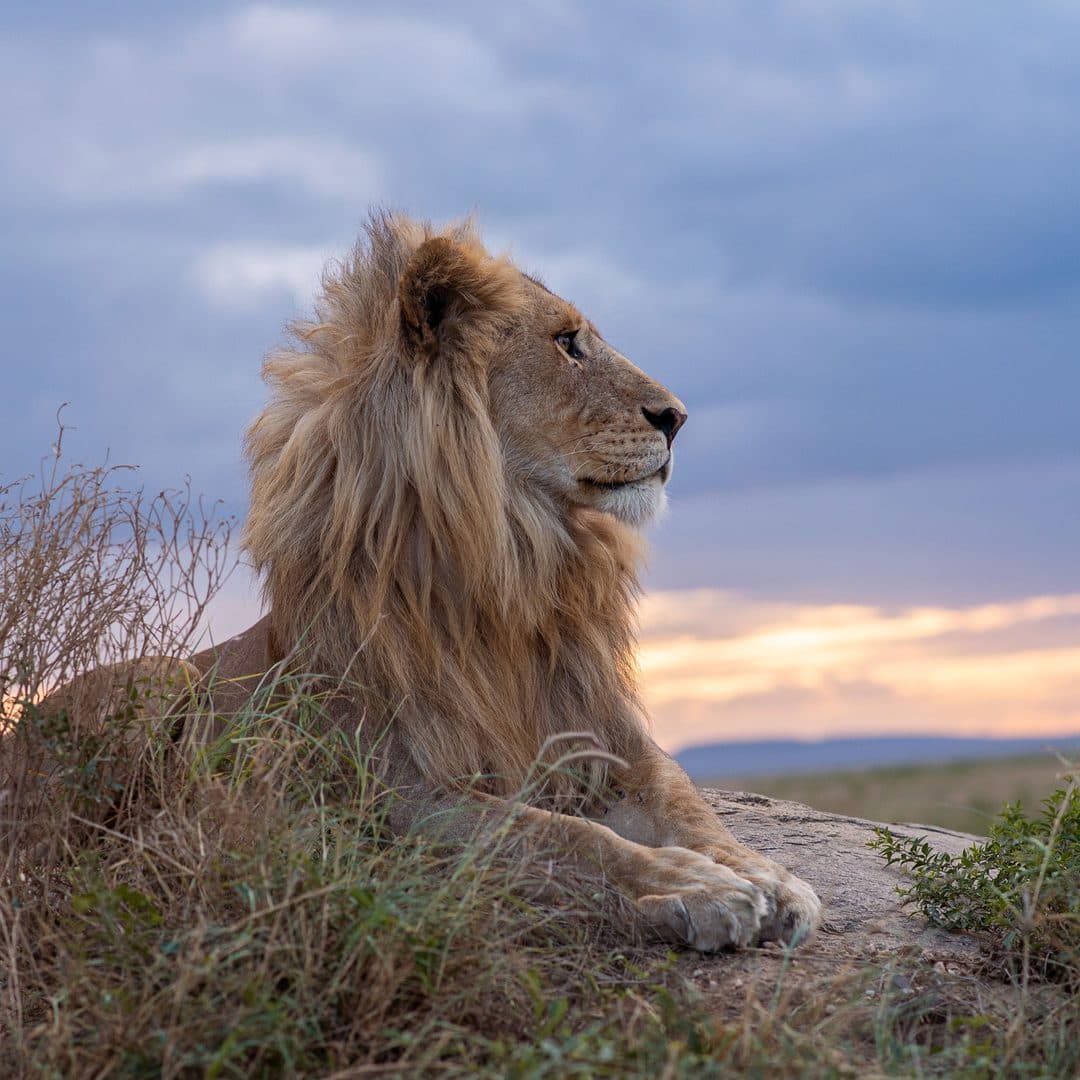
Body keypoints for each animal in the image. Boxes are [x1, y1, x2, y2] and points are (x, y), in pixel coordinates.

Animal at [44, 214, 822, 952]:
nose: (677, 417)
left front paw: (771, 881)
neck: (517, 563)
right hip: (158, 679)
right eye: (567, 342)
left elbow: (688, 803)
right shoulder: (401, 794)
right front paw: (696, 887)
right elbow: (562, 835)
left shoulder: (603, 737)